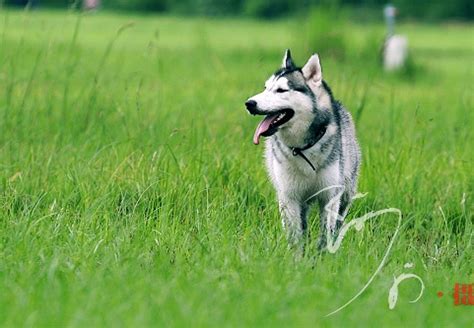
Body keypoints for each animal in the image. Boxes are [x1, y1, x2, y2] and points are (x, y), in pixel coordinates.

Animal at [244, 49, 360, 249]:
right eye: (265, 87)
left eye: (281, 90)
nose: (249, 103)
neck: (303, 148)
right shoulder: (289, 197)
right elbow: (295, 237)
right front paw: (297, 256)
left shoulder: (330, 197)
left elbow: (326, 234)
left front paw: (323, 254)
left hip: (346, 192)